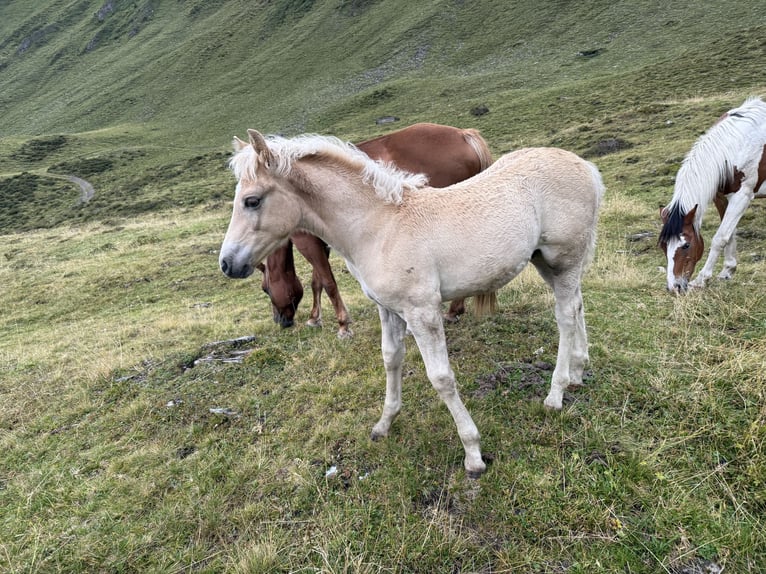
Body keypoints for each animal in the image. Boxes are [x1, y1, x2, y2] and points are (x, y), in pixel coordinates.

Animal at [259, 122, 494, 338]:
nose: (280, 321)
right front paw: (315, 318)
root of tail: (463, 134)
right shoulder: (325, 241)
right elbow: (317, 281)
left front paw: (342, 324)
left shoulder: (306, 241)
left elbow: (328, 282)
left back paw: (453, 310)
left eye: (265, 289)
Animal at [659, 96, 766, 292]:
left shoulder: (742, 196)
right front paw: (728, 270)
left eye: (686, 244)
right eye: (663, 245)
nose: (674, 287)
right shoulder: (722, 197)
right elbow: (730, 234)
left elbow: (719, 238)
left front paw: (702, 279)